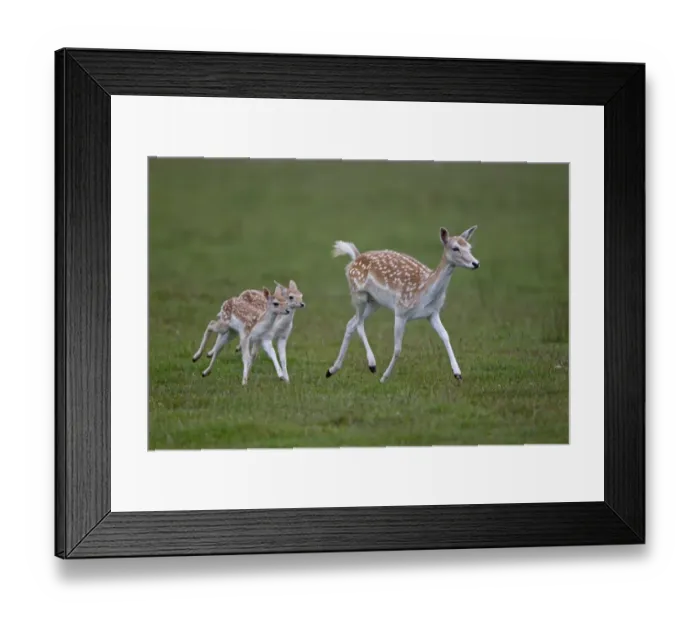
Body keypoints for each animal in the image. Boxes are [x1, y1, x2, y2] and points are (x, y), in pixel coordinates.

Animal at [325, 226, 479, 384]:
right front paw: (384, 377)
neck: (424, 292)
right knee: (359, 322)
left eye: (469, 247)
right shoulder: (400, 311)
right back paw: (372, 364)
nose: (476, 263)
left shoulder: (432, 313)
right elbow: (398, 348)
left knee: (351, 323)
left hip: (374, 302)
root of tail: (354, 258)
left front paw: (458, 373)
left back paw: (332, 370)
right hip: (358, 294)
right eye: (455, 248)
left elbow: (445, 336)